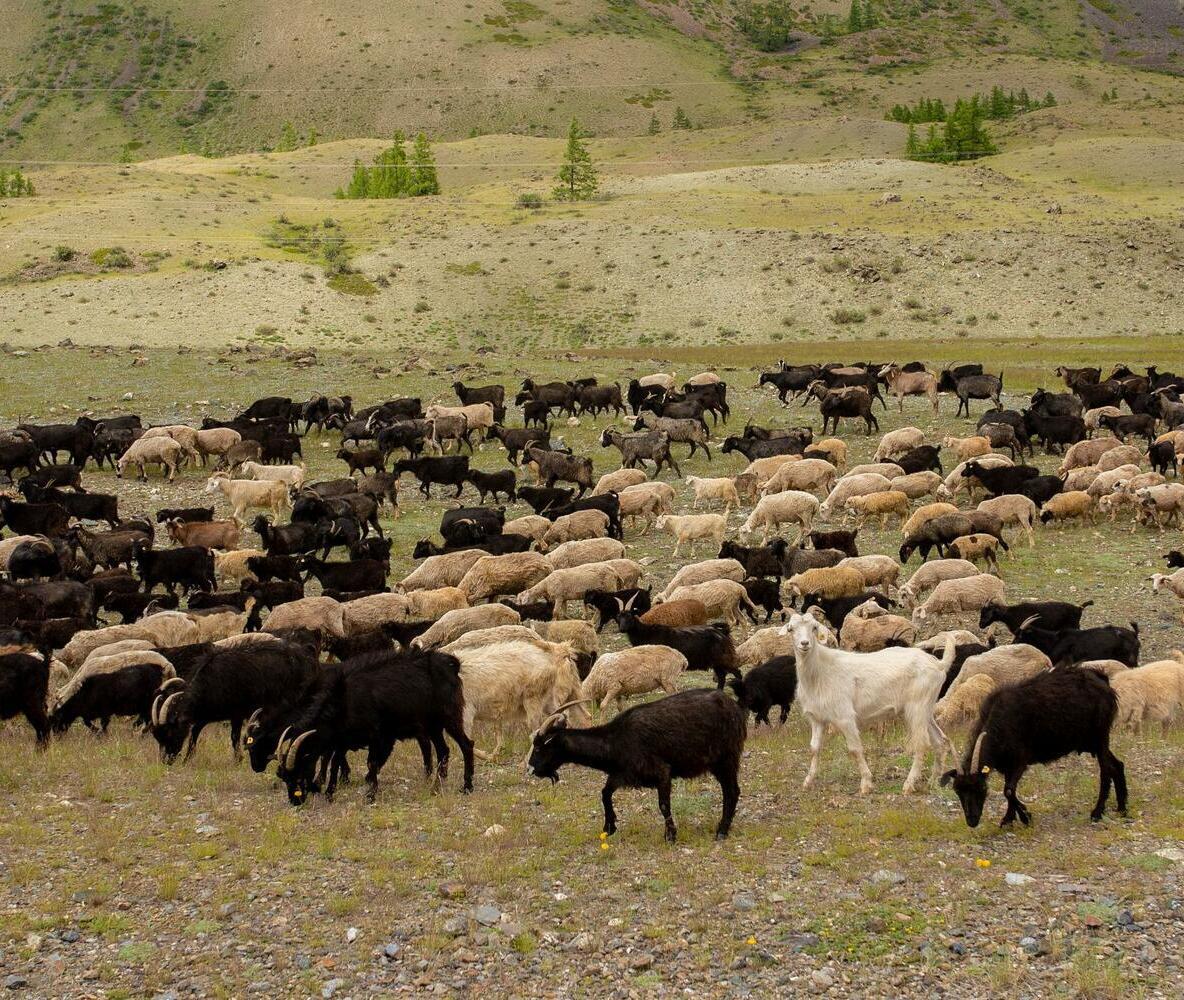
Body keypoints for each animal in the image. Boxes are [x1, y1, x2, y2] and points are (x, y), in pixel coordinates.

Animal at [781, 612, 955, 794]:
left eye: (814, 627)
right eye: (791, 629)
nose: (804, 644)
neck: (820, 671)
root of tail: (939, 664)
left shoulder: (845, 717)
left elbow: (855, 749)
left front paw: (866, 783)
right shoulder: (817, 718)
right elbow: (814, 748)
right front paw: (808, 781)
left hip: (917, 706)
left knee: (922, 744)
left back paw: (909, 785)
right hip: (925, 709)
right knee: (940, 741)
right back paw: (933, 782)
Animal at [941, 668, 1127, 827]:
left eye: (981, 788)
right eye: (958, 791)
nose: (972, 821)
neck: (1000, 723)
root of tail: (1102, 681)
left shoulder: (1020, 761)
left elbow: (1008, 790)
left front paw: (1025, 816)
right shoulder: (1007, 765)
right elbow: (1009, 789)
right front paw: (1008, 819)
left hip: (1100, 736)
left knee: (1106, 770)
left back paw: (1097, 812)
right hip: (1091, 742)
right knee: (1117, 765)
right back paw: (1122, 808)